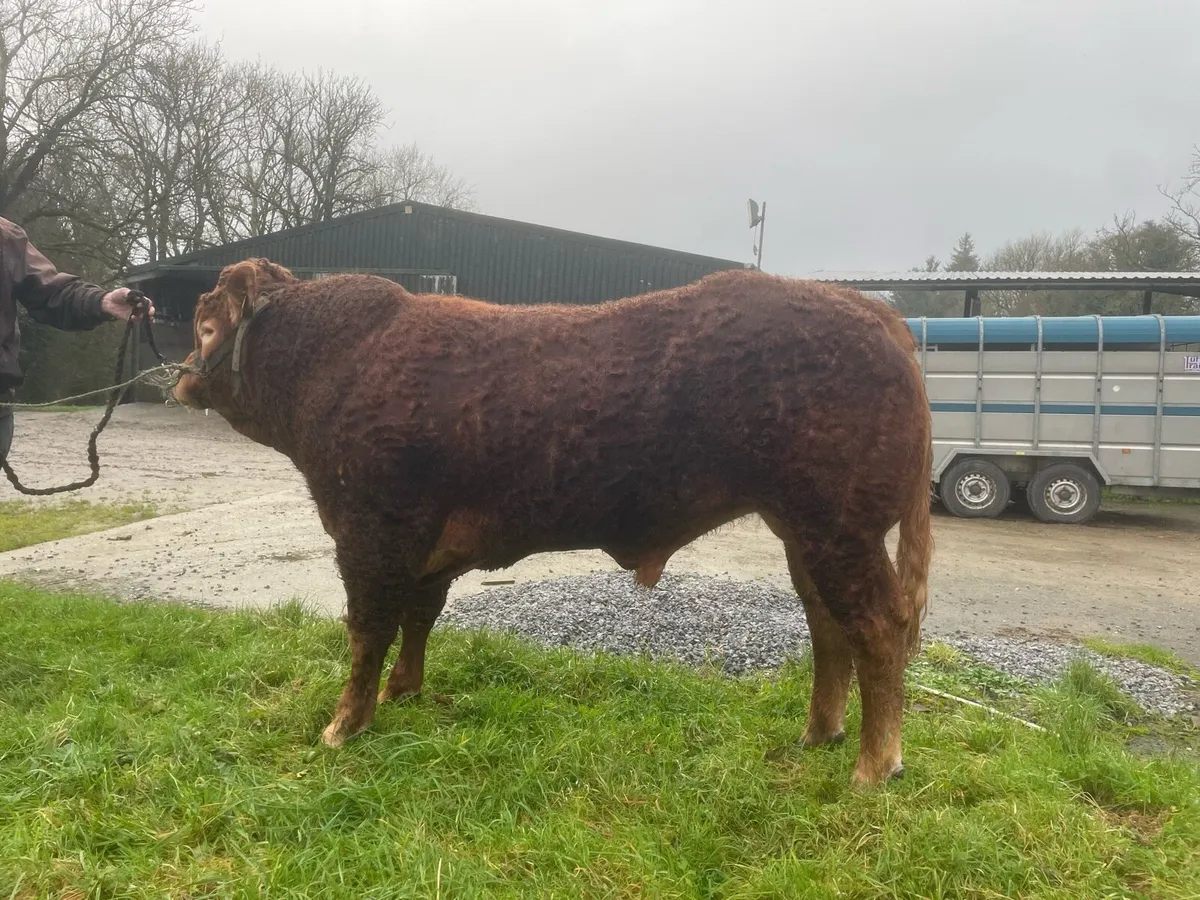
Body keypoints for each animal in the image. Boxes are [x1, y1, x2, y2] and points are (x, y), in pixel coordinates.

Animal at [170, 258, 933, 787]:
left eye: (205, 323)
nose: (178, 376)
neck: (338, 364)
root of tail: (874, 313)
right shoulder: (426, 549)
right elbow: (419, 617)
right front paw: (403, 691)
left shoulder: (372, 533)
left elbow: (367, 632)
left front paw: (342, 726)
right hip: (806, 531)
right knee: (828, 627)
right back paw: (819, 734)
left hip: (840, 529)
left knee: (879, 627)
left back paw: (875, 767)